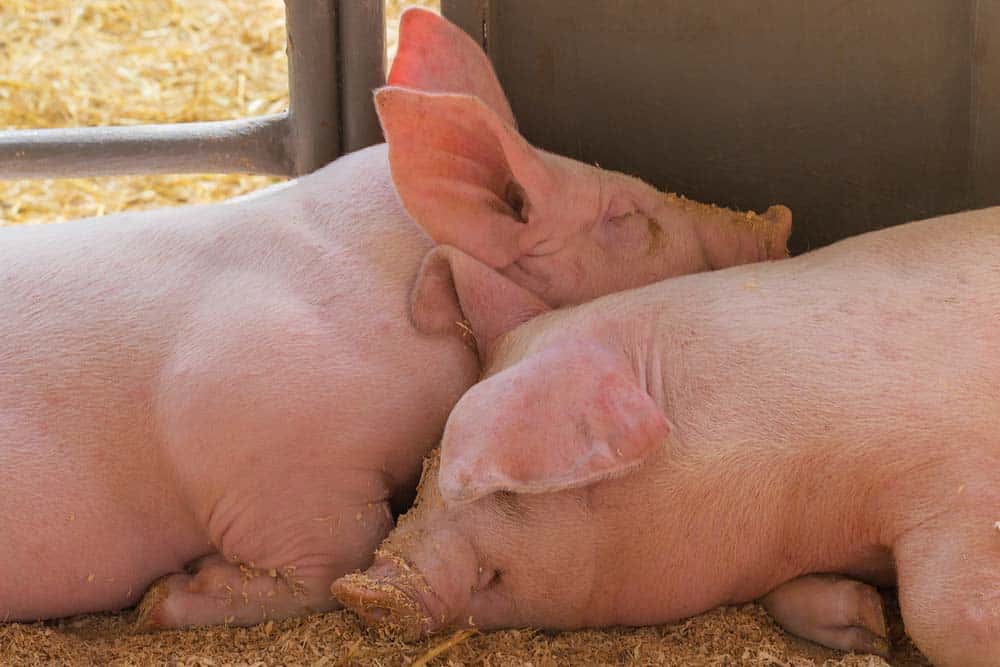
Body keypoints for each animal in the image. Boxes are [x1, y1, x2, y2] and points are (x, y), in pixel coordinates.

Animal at [334, 206, 1000, 664]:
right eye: (428, 469)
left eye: (507, 489)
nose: (360, 590)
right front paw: (871, 627)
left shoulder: (959, 483)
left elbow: (944, 613)